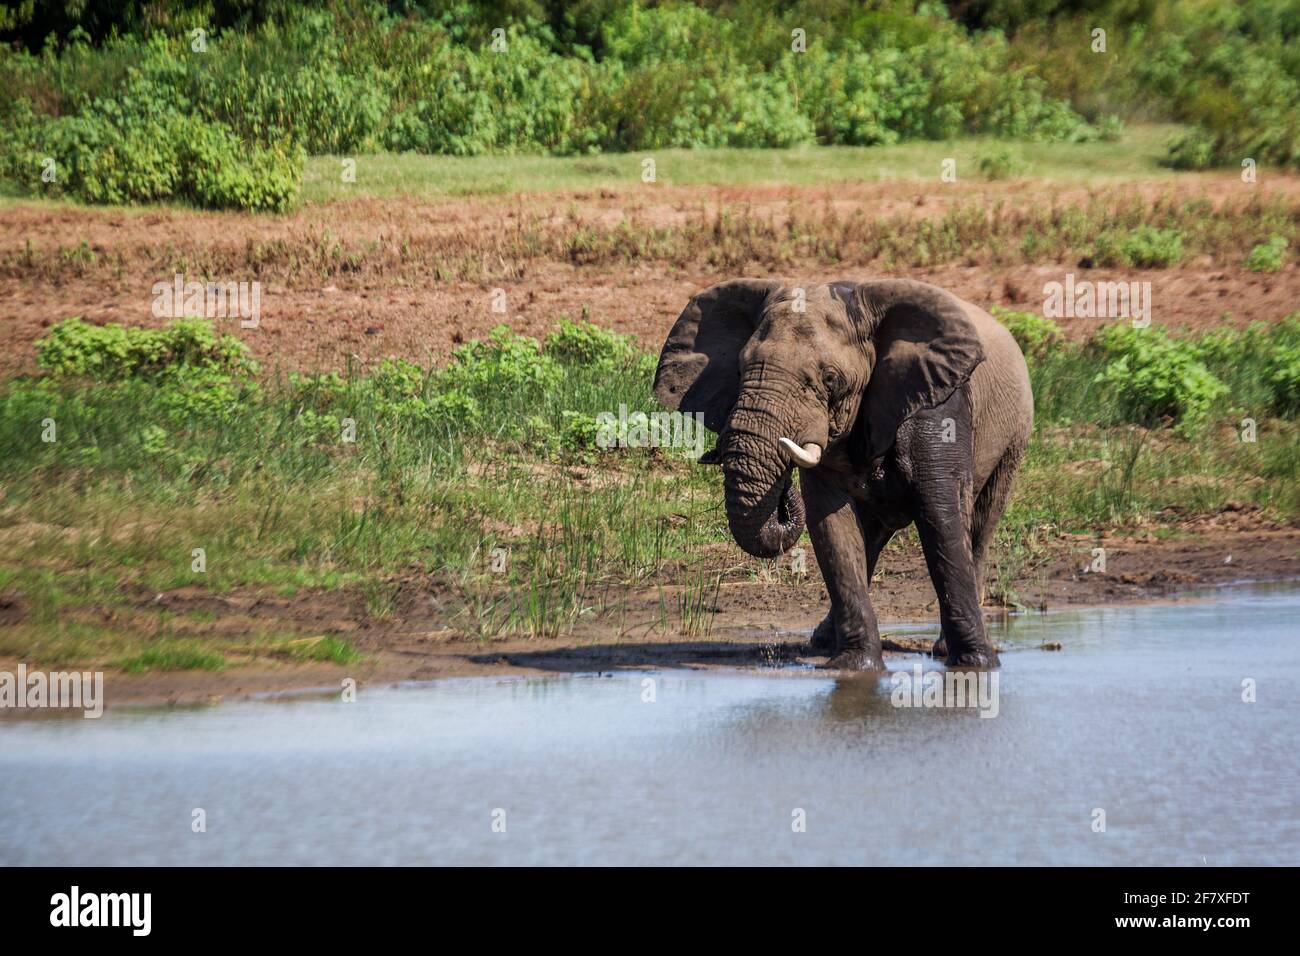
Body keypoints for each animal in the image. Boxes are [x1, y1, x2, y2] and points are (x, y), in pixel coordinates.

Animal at [653, 278, 1033, 671]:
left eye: (830, 379)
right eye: (741, 370)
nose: (783, 488)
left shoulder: (939, 405)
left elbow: (942, 515)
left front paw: (975, 665)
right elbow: (833, 528)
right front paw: (853, 667)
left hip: (1015, 436)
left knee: (981, 524)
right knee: (871, 537)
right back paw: (822, 641)